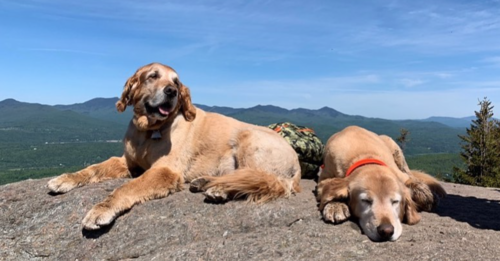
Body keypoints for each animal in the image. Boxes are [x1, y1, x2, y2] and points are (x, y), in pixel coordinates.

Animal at [47, 63, 300, 230]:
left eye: (176, 81)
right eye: (152, 76)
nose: (172, 91)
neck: (148, 131)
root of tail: (296, 159)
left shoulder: (164, 170)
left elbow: (127, 188)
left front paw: (102, 209)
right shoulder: (128, 162)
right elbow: (94, 168)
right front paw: (65, 179)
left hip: (248, 138)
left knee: (266, 181)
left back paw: (219, 187)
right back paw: (209, 184)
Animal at [316, 125, 446, 241]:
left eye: (395, 201)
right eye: (366, 201)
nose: (386, 231)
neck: (365, 157)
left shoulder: (400, 175)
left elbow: (412, 182)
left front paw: (425, 195)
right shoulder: (323, 178)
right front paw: (335, 205)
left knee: (410, 174)